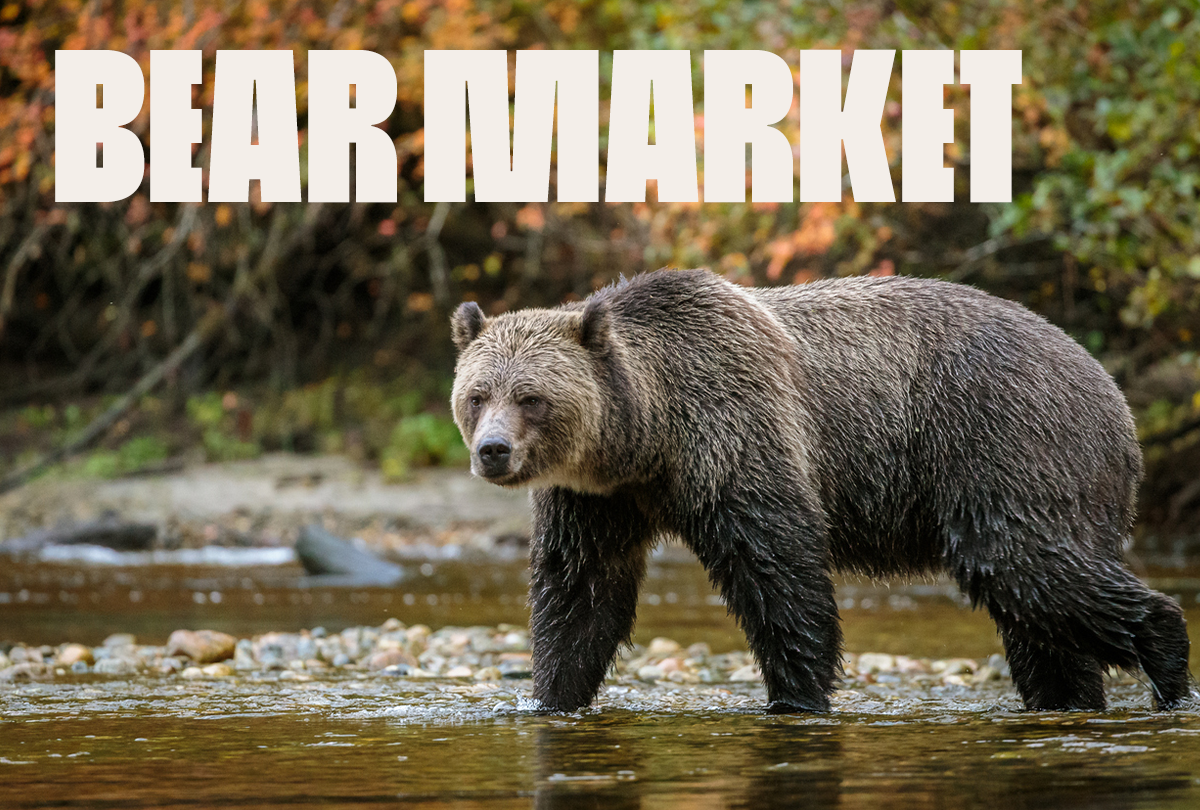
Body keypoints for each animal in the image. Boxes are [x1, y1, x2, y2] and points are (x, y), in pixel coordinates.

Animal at [449, 268, 1193, 713]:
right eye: (477, 393)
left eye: (531, 396)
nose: (494, 451)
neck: (648, 437)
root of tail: (1111, 390)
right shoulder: (600, 499)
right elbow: (580, 590)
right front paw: (553, 694)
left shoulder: (738, 433)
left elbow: (777, 569)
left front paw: (796, 696)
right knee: (1038, 613)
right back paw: (1067, 697)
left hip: (1004, 441)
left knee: (1019, 563)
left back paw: (1167, 656)